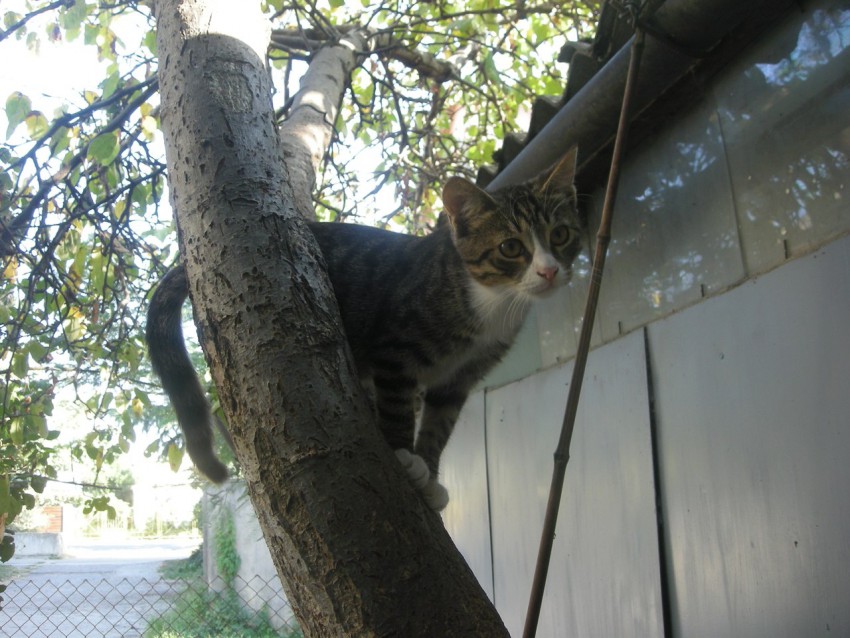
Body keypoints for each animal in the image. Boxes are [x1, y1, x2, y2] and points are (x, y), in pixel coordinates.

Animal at [146, 146, 582, 511]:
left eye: (561, 235)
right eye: (511, 248)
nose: (549, 271)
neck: (492, 304)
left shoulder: (460, 379)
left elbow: (439, 426)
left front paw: (429, 472)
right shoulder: (395, 348)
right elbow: (398, 408)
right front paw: (405, 457)